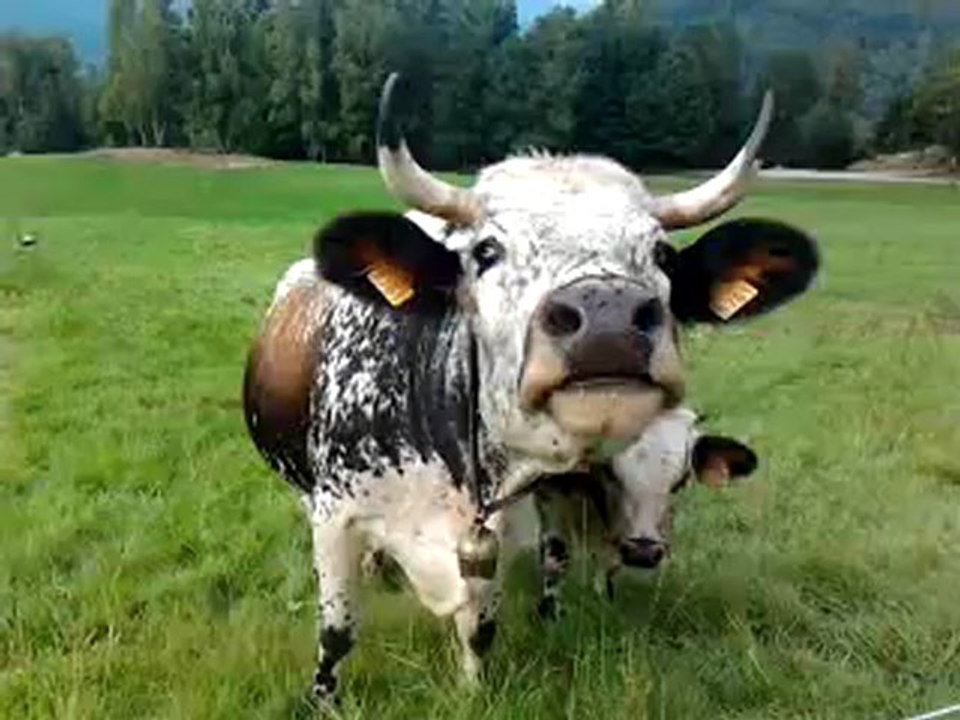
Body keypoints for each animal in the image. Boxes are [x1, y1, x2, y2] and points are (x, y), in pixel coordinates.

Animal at [529, 406, 758, 620]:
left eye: (681, 481)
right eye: (609, 470)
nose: (642, 553)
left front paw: (602, 598)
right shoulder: (550, 496)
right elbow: (555, 560)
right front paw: (551, 615)